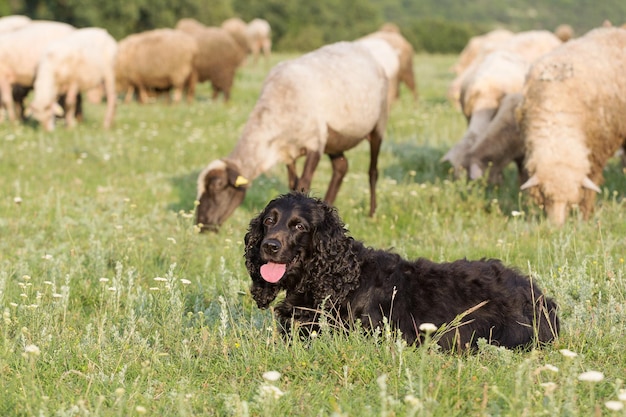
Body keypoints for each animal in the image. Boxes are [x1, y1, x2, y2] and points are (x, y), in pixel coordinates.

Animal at [196, 41, 390, 231]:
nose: (201, 224)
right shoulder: (289, 152)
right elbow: (293, 185)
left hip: (377, 124)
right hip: (334, 140)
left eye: (217, 186)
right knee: (341, 167)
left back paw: (372, 215)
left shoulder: (315, 144)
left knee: (372, 171)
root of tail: (362, 49)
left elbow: (304, 183)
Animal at [516, 27, 624, 226]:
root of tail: (614, 29)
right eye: (546, 196)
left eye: (570, 201)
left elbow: (590, 188)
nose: (557, 228)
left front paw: (585, 218)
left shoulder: (596, 153)